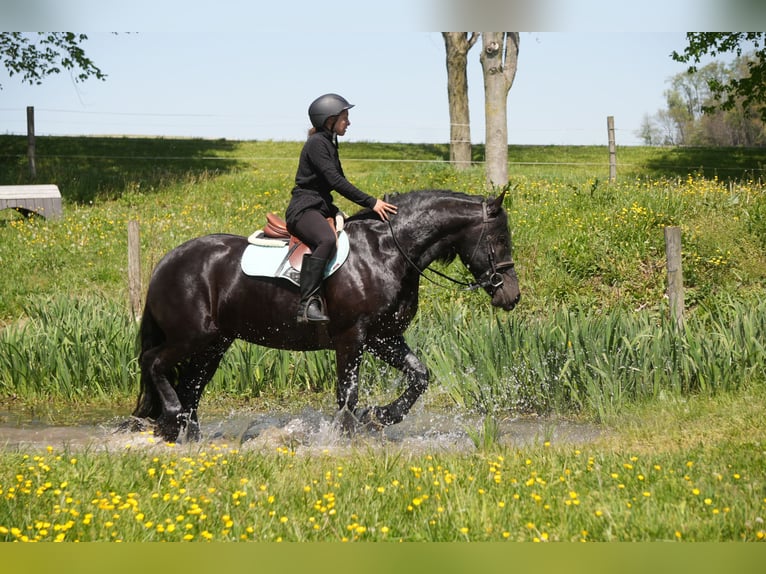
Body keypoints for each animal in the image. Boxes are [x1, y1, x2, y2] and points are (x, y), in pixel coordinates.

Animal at [131, 189, 520, 442]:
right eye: (500, 239)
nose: (511, 296)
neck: (387, 250)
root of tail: (168, 261)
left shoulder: (383, 338)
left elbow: (419, 376)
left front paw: (378, 418)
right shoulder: (352, 337)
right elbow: (348, 391)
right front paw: (346, 434)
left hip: (214, 344)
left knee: (191, 385)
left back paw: (186, 433)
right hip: (191, 336)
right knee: (154, 363)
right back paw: (171, 418)